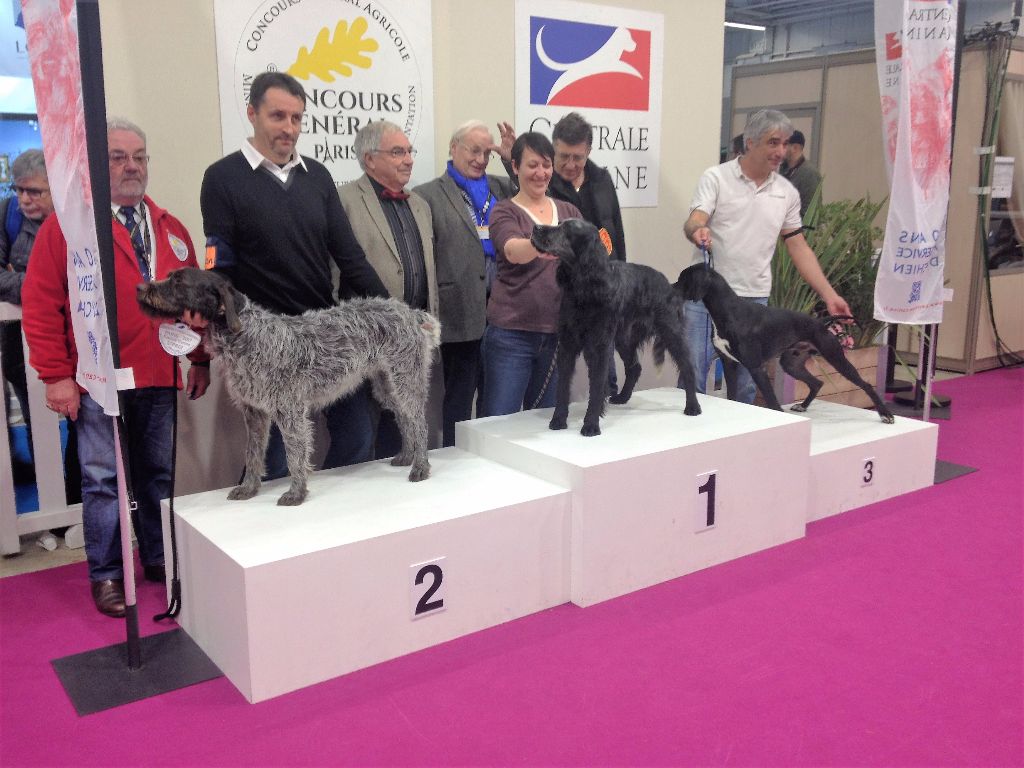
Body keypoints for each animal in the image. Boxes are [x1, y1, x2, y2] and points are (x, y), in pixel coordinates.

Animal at [137, 268, 440, 507]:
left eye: (178, 281)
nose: (140, 287)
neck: (245, 335)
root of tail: (409, 312)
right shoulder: (254, 413)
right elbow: (253, 454)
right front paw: (249, 488)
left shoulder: (289, 411)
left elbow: (294, 454)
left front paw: (296, 493)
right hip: (388, 386)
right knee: (405, 418)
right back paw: (407, 456)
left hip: (405, 379)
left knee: (419, 422)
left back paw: (421, 466)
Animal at [528, 219, 704, 436]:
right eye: (559, 224)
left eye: (566, 229)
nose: (535, 227)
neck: (584, 289)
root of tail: (671, 286)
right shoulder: (568, 343)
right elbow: (563, 387)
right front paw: (559, 419)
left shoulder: (600, 345)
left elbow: (596, 387)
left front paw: (591, 424)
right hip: (624, 338)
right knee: (635, 367)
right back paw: (623, 397)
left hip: (671, 331)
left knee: (687, 366)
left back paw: (693, 406)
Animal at [675, 264, 892, 421]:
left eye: (684, 278)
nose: (670, 289)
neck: (729, 311)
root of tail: (821, 322)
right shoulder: (729, 364)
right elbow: (733, 397)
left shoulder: (756, 368)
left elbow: (772, 402)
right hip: (791, 363)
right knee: (817, 382)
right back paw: (802, 406)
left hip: (836, 358)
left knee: (865, 384)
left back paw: (885, 414)